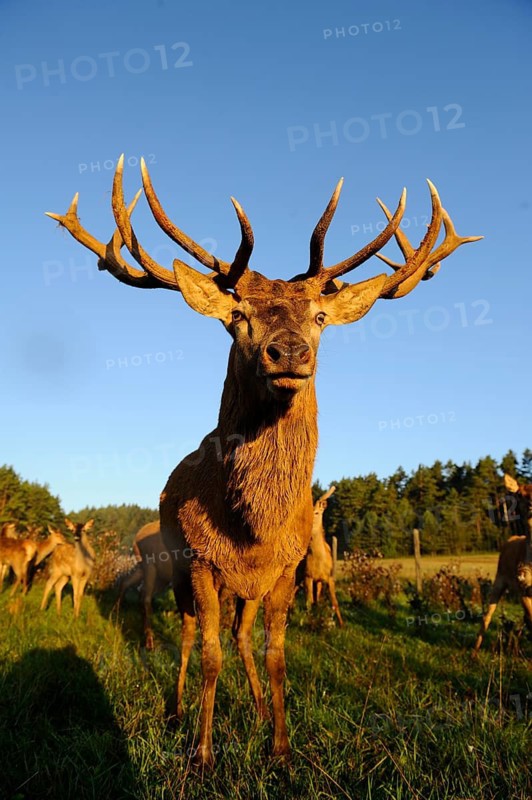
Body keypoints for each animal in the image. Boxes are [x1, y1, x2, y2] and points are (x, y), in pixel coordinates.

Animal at [46, 154, 481, 767]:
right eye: (239, 316)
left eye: (320, 316)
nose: (289, 352)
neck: (253, 528)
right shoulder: (200, 562)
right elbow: (208, 653)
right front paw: (203, 751)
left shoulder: (285, 570)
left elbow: (275, 654)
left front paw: (279, 744)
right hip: (175, 568)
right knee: (188, 634)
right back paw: (177, 710)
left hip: (243, 589)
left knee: (241, 635)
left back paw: (252, 708)